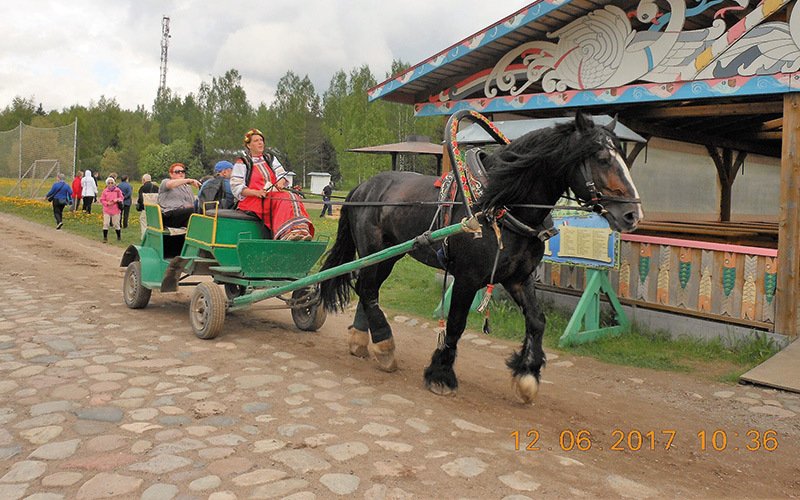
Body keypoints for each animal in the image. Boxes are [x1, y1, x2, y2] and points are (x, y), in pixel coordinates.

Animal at [316, 111, 640, 404]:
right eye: (602, 158)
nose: (632, 214)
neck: (499, 205)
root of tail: (364, 187)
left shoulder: (518, 278)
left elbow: (537, 321)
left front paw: (527, 375)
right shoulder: (467, 278)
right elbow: (456, 323)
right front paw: (441, 374)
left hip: (386, 256)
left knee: (367, 290)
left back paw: (362, 340)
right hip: (373, 251)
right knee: (368, 290)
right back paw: (384, 344)